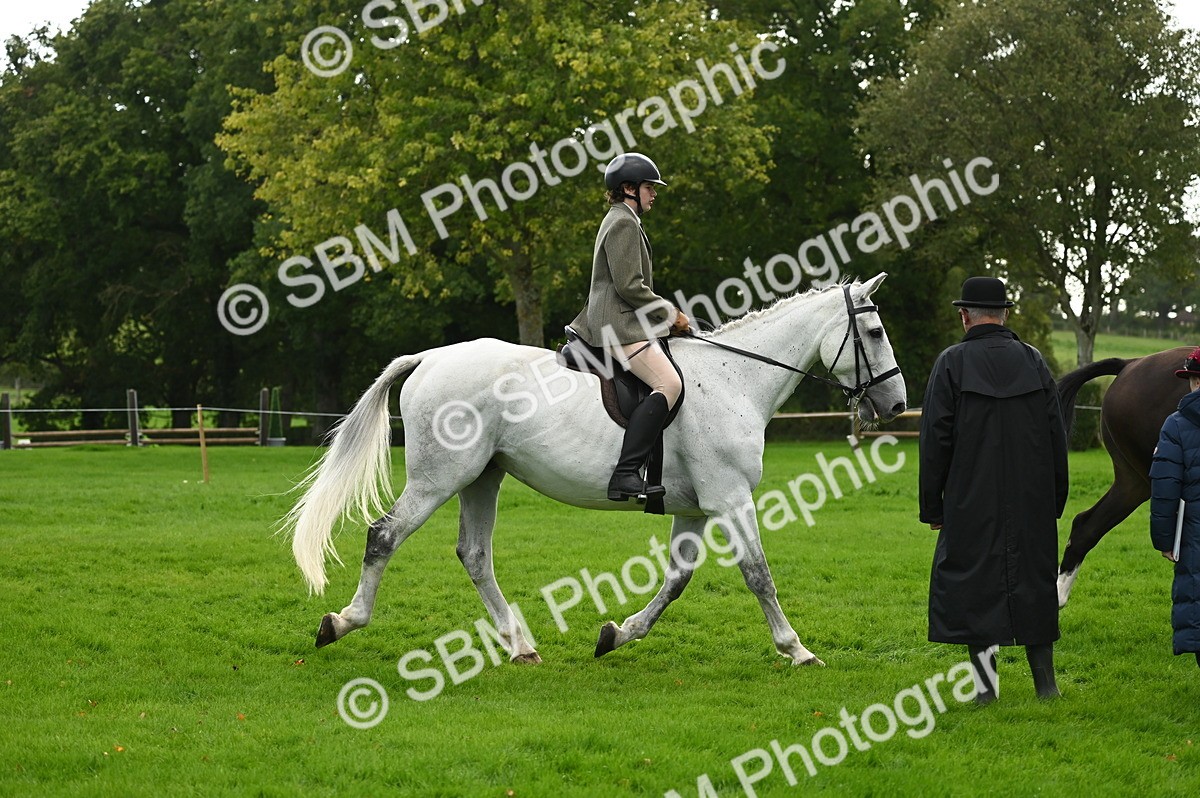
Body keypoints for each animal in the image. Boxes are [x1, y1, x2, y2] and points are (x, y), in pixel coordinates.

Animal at [282, 273, 907, 667]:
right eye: (876, 332)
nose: (897, 404)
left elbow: (676, 580)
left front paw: (617, 634)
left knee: (475, 555)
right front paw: (796, 649)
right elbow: (758, 574)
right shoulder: (730, 497)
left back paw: (519, 645)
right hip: (440, 478)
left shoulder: (696, 508)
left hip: (483, 477)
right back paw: (342, 622)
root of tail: (431, 357)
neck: (735, 379)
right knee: (384, 536)